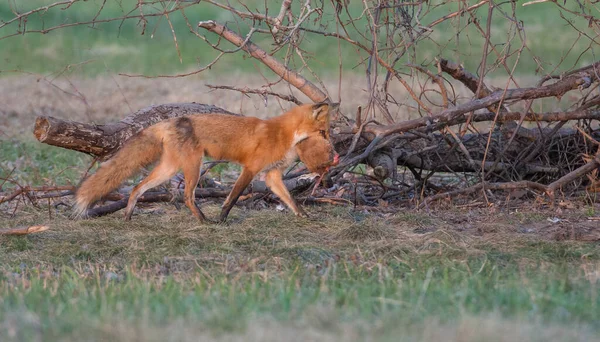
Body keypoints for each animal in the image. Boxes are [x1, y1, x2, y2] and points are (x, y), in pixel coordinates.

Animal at [72, 103, 340, 223]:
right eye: (323, 133)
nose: (335, 151)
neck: (283, 135)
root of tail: (167, 122)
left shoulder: (271, 176)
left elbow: (291, 199)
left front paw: (304, 215)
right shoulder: (251, 168)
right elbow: (232, 197)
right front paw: (222, 219)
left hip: (169, 168)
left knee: (138, 187)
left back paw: (128, 215)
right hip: (193, 166)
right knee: (187, 196)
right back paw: (203, 221)